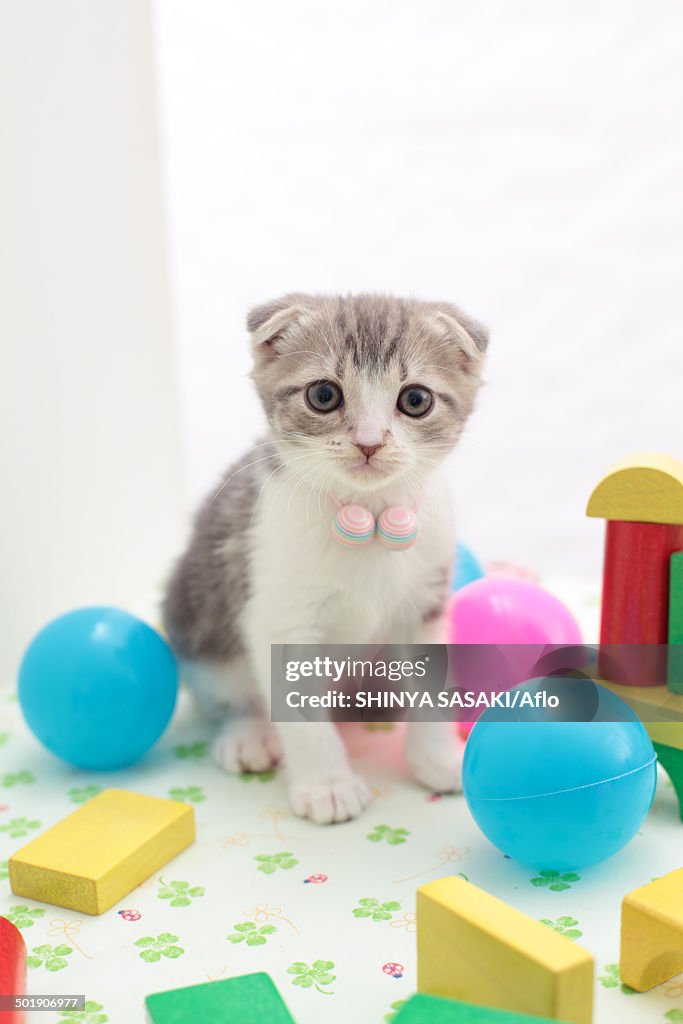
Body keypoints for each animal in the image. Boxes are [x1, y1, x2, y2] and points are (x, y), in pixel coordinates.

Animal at [162, 292, 489, 819]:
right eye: (323, 395)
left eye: (415, 400)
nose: (369, 443)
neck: (368, 518)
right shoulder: (281, 619)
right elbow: (300, 713)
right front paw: (327, 785)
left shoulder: (425, 609)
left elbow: (432, 690)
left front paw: (435, 759)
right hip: (195, 618)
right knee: (228, 694)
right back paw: (248, 735)